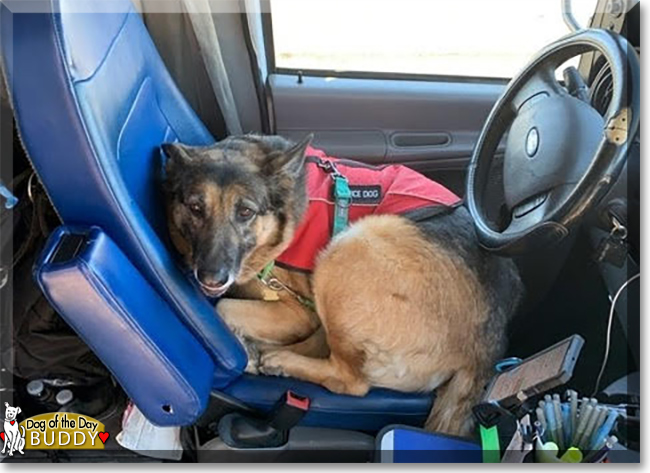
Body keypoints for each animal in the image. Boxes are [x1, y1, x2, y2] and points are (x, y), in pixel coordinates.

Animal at [162, 134, 520, 436]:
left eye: (245, 212)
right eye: (195, 208)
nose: (211, 277)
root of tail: (488, 344)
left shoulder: (297, 311)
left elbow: (225, 306)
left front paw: (244, 346)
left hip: (349, 248)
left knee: (352, 381)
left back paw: (280, 360)